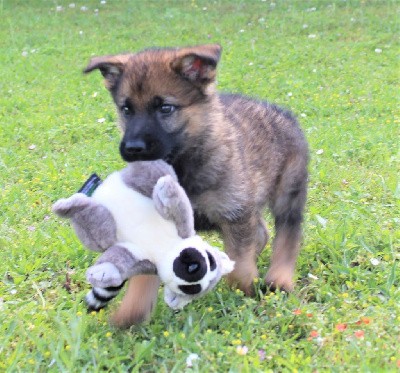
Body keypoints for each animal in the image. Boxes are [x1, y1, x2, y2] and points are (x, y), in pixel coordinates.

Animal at [83, 45, 310, 326]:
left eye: (165, 108)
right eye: (126, 109)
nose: (133, 149)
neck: (183, 165)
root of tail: (280, 112)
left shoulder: (234, 214)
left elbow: (240, 266)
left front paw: (242, 292)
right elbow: (143, 278)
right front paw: (130, 315)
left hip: (287, 192)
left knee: (288, 233)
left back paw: (280, 278)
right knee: (261, 231)